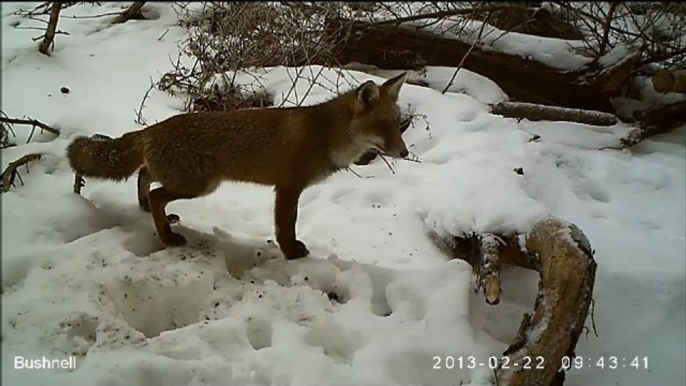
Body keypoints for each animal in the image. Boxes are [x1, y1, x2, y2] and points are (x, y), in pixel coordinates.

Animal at [66, 72, 408, 260]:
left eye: (398, 124)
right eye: (382, 126)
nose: (405, 152)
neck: (325, 135)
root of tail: (153, 128)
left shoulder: (292, 188)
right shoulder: (288, 187)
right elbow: (285, 227)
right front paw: (290, 253)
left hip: (186, 180)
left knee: (144, 174)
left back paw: (145, 209)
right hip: (199, 185)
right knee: (155, 193)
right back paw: (166, 235)